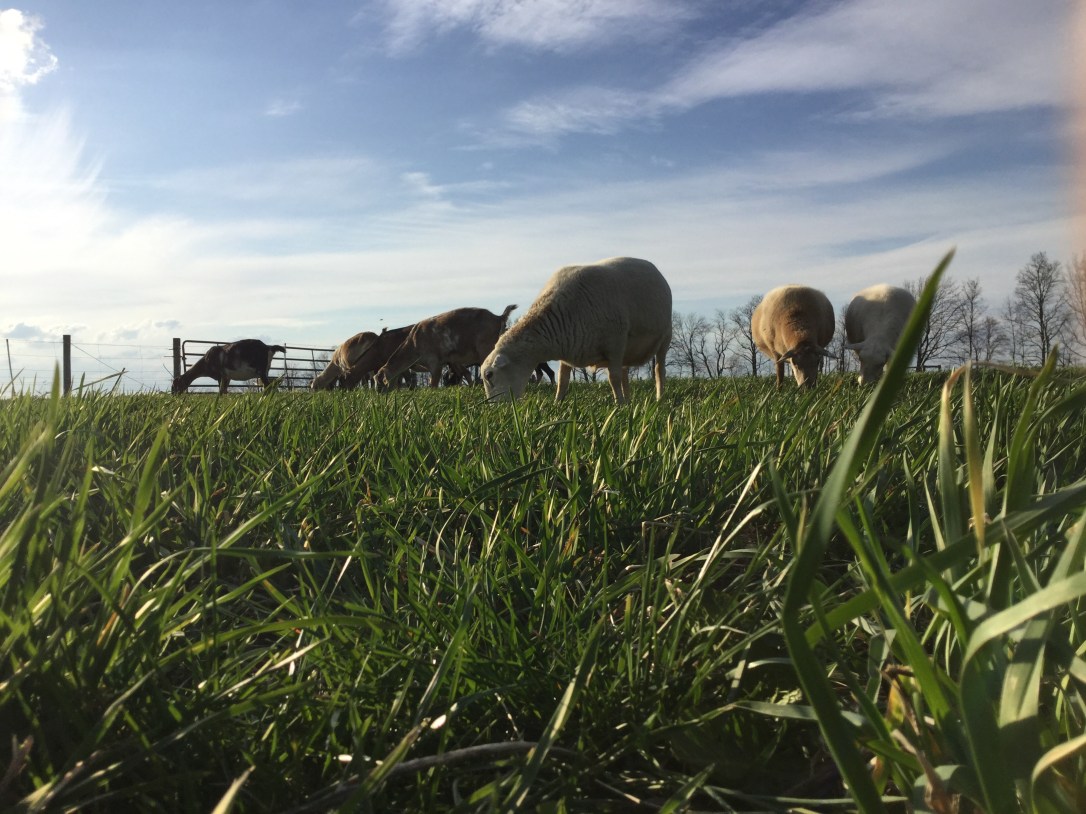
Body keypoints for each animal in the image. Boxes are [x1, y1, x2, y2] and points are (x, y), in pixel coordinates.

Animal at [375, 305, 517, 389]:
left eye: (381, 383)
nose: (380, 395)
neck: (414, 343)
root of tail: (498, 318)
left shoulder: (435, 362)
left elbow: (433, 385)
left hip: (486, 348)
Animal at [480, 256, 672, 405]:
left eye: (489, 375)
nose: (495, 408)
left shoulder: (615, 344)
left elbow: (614, 378)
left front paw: (619, 406)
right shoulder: (569, 351)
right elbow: (562, 381)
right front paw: (557, 404)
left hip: (664, 336)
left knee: (658, 370)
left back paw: (659, 398)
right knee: (626, 372)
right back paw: (629, 400)